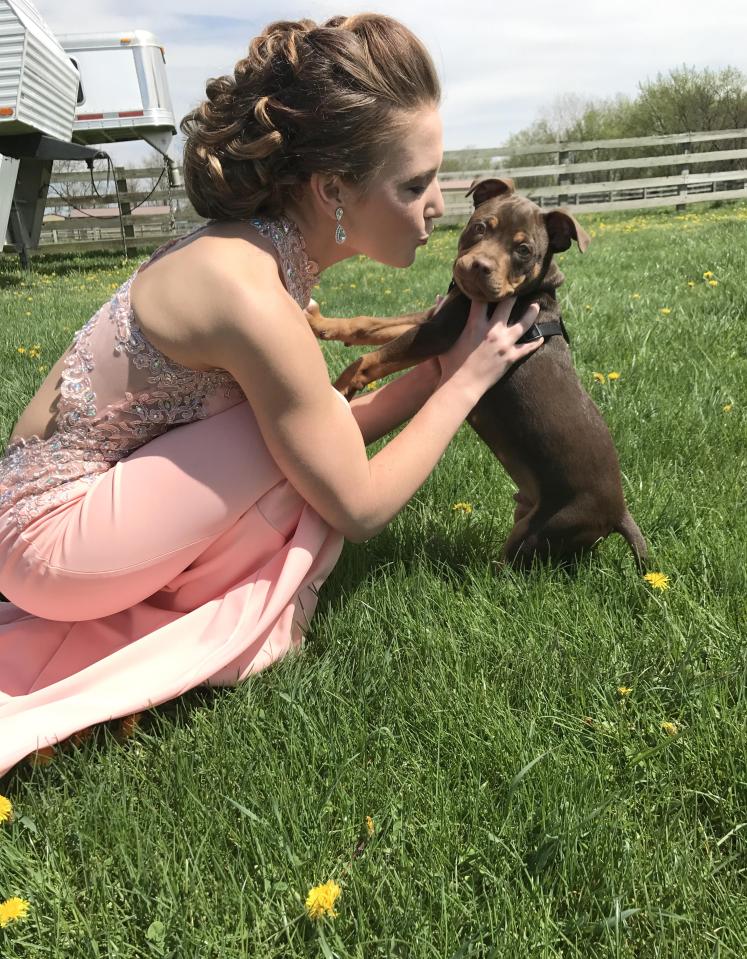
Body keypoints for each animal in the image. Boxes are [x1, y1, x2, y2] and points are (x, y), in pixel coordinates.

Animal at [310, 178, 648, 568]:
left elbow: (368, 358)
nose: (477, 267)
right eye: (480, 227)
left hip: (541, 530)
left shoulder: (438, 331)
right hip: (532, 515)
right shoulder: (436, 315)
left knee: (514, 568)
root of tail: (621, 512)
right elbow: (370, 325)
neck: (532, 291)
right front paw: (319, 324)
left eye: (523, 250)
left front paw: (339, 389)